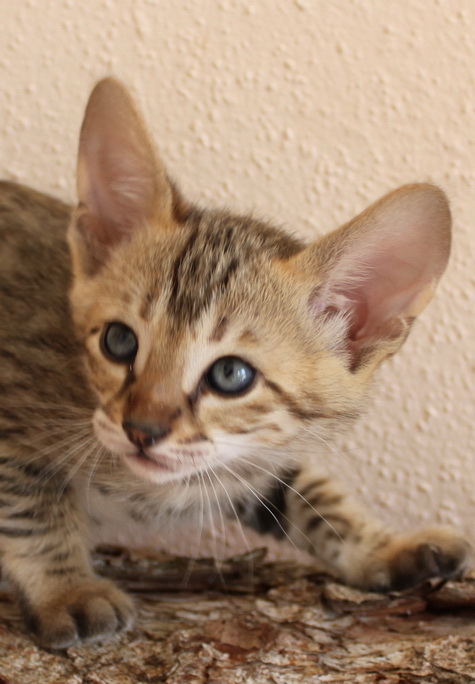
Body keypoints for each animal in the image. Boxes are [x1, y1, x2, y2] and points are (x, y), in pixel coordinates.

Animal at [0, 77, 468, 648]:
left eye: (231, 375)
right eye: (118, 341)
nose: (141, 430)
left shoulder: (253, 458)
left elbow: (312, 491)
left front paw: (385, 546)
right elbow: (31, 506)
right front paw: (66, 589)